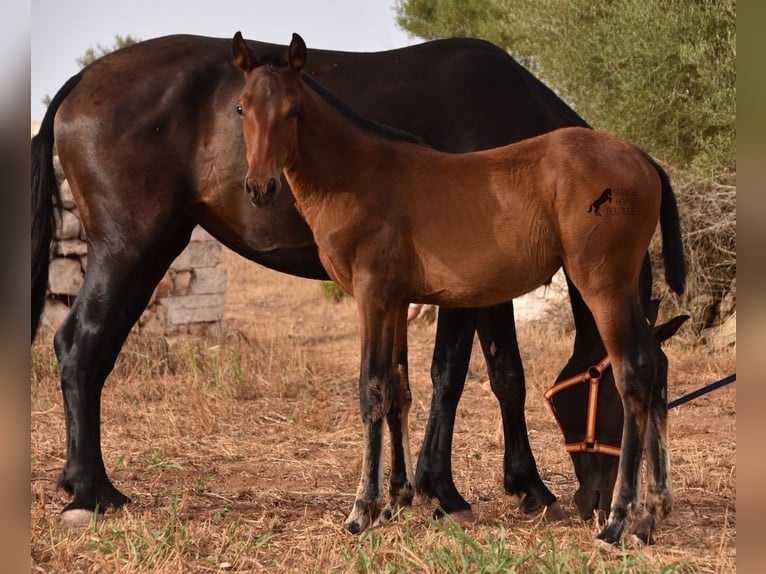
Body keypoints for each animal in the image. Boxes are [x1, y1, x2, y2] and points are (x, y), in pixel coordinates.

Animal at [231, 33, 688, 548]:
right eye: (242, 107)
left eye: (293, 110)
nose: (260, 187)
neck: (360, 174)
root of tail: (644, 159)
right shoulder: (397, 303)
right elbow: (398, 390)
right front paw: (396, 501)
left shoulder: (372, 297)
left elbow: (373, 390)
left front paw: (363, 508)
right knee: (658, 367)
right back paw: (650, 516)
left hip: (604, 286)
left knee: (635, 373)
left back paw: (618, 519)